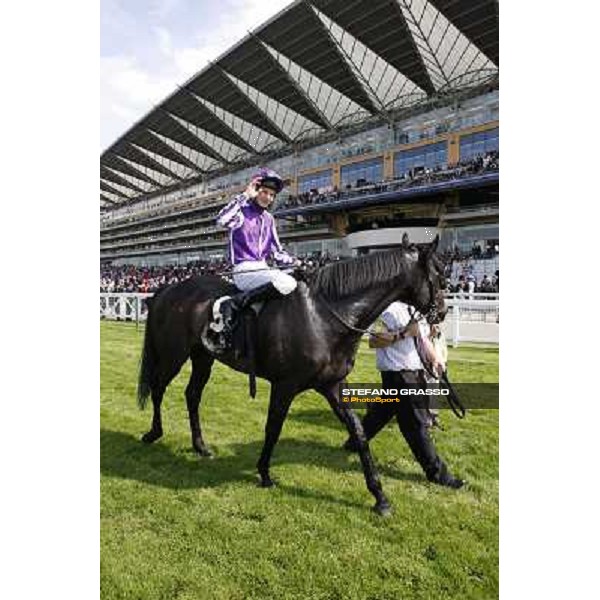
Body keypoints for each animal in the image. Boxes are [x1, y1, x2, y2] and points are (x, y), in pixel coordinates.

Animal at [136, 237, 446, 512]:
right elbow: (273, 426)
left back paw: (200, 446)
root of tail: (167, 290)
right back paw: (154, 433)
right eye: (440, 275)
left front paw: (379, 497)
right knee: (158, 387)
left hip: (203, 357)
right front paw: (264, 473)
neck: (324, 316)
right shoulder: (284, 385)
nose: (441, 313)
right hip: (173, 355)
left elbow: (358, 432)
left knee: (192, 395)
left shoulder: (333, 385)